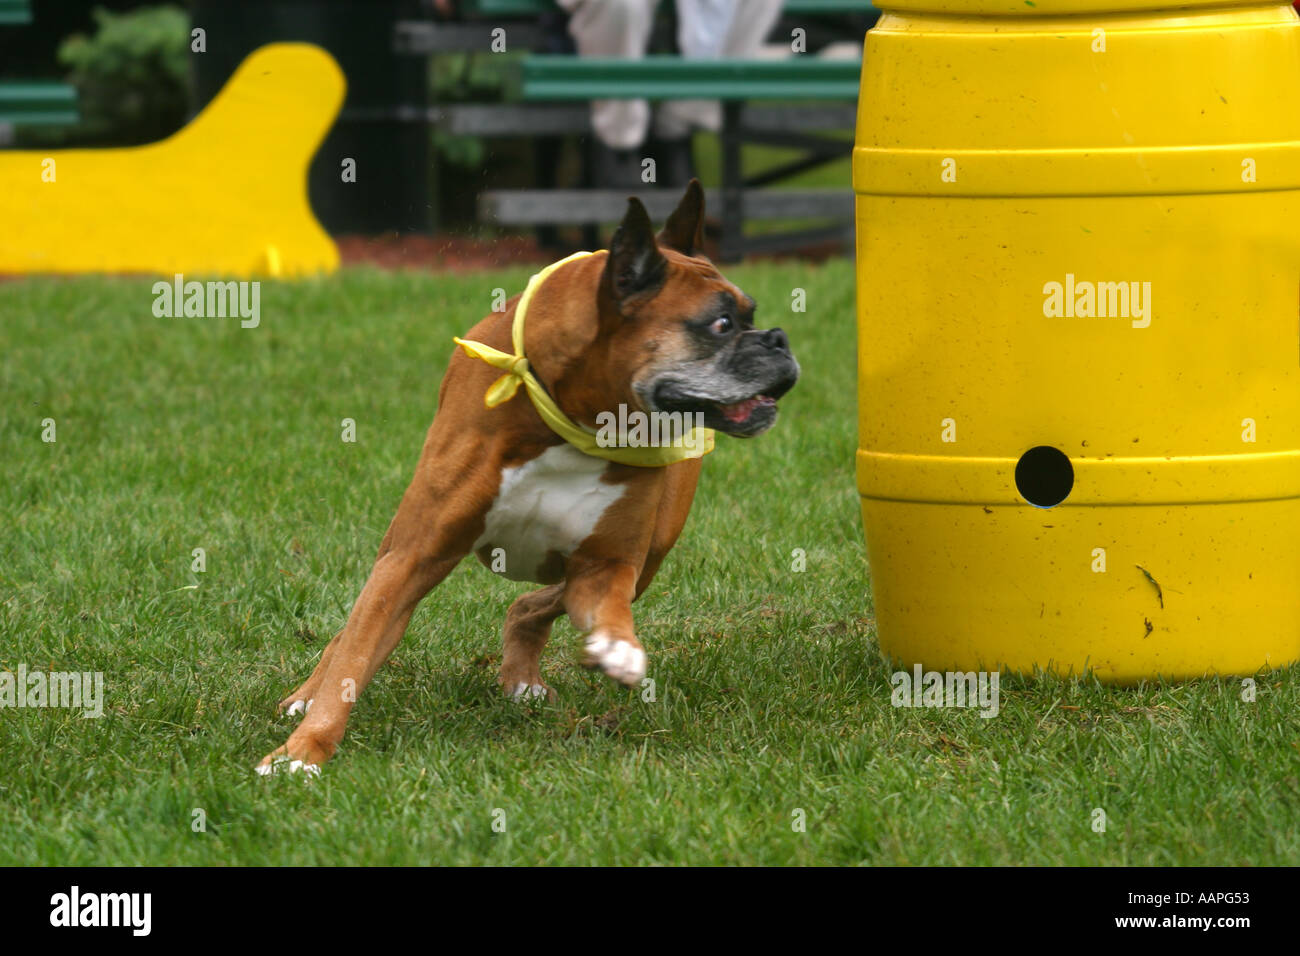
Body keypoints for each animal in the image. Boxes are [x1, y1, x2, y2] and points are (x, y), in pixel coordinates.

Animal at [256, 180, 790, 780]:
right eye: (721, 324)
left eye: (751, 315)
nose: (777, 338)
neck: (570, 423)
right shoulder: (412, 557)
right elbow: (355, 652)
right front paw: (302, 751)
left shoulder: (606, 568)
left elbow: (606, 613)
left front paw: (617, 649)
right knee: (351, 633)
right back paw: (306, 695)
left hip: (652, 554)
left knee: (528, 606)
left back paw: (522, 676)